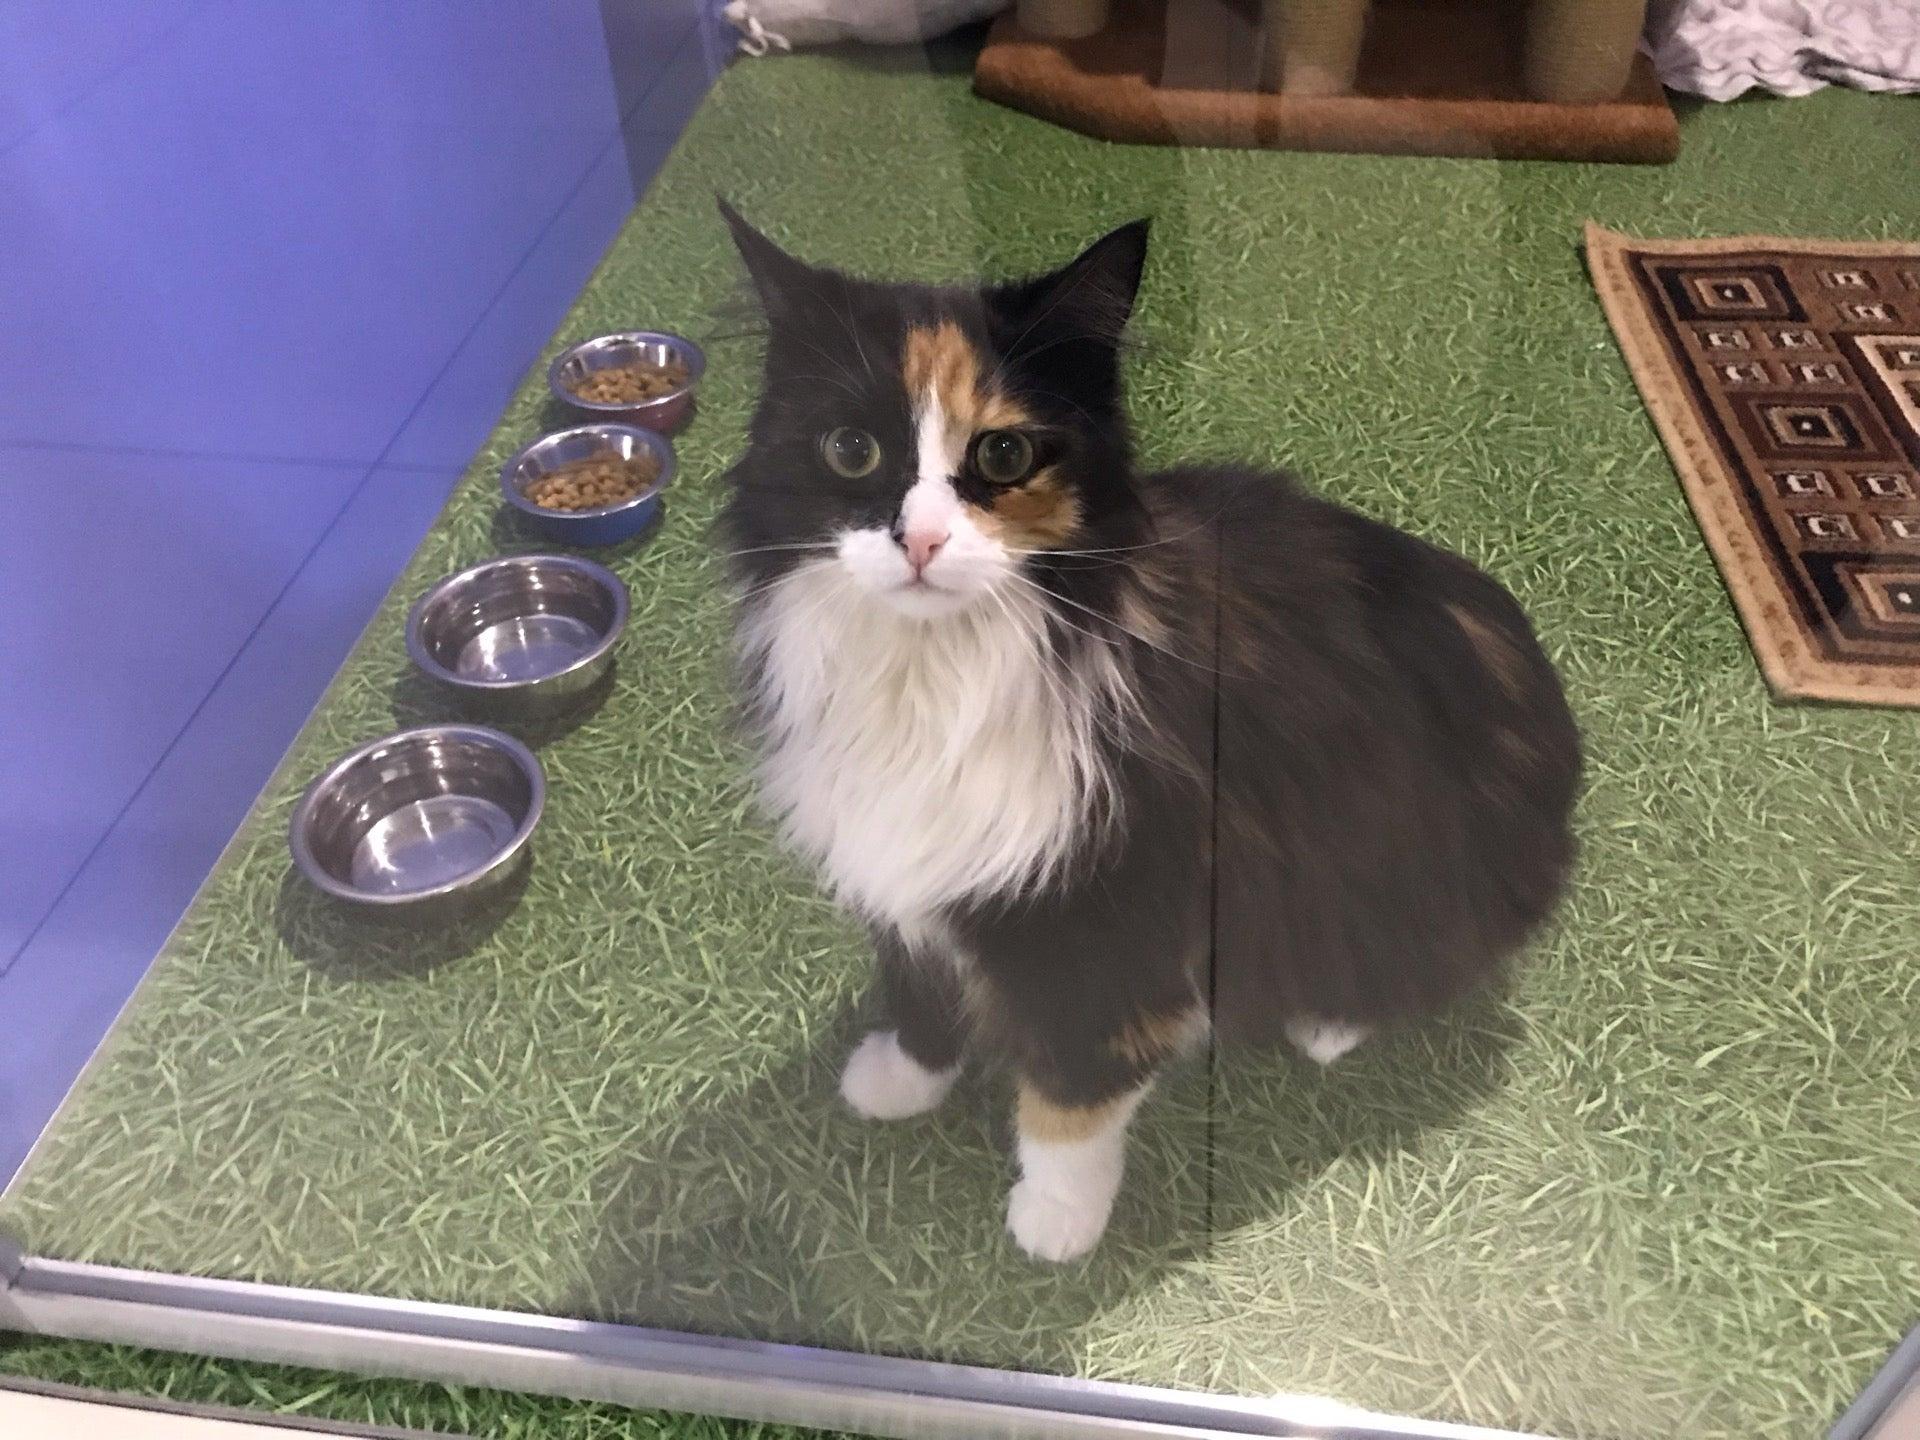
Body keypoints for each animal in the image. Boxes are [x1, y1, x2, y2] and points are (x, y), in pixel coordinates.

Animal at [716, 200, 1582, 1263]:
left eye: (1003, 456)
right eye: (850, 451)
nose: (919, 541)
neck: (936, 677)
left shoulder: (1110, 920)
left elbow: (1069, 1096)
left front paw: (1055, 1226)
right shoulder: (910, 878)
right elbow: (919, 991)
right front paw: (897, 1082)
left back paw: (1326, 1024)